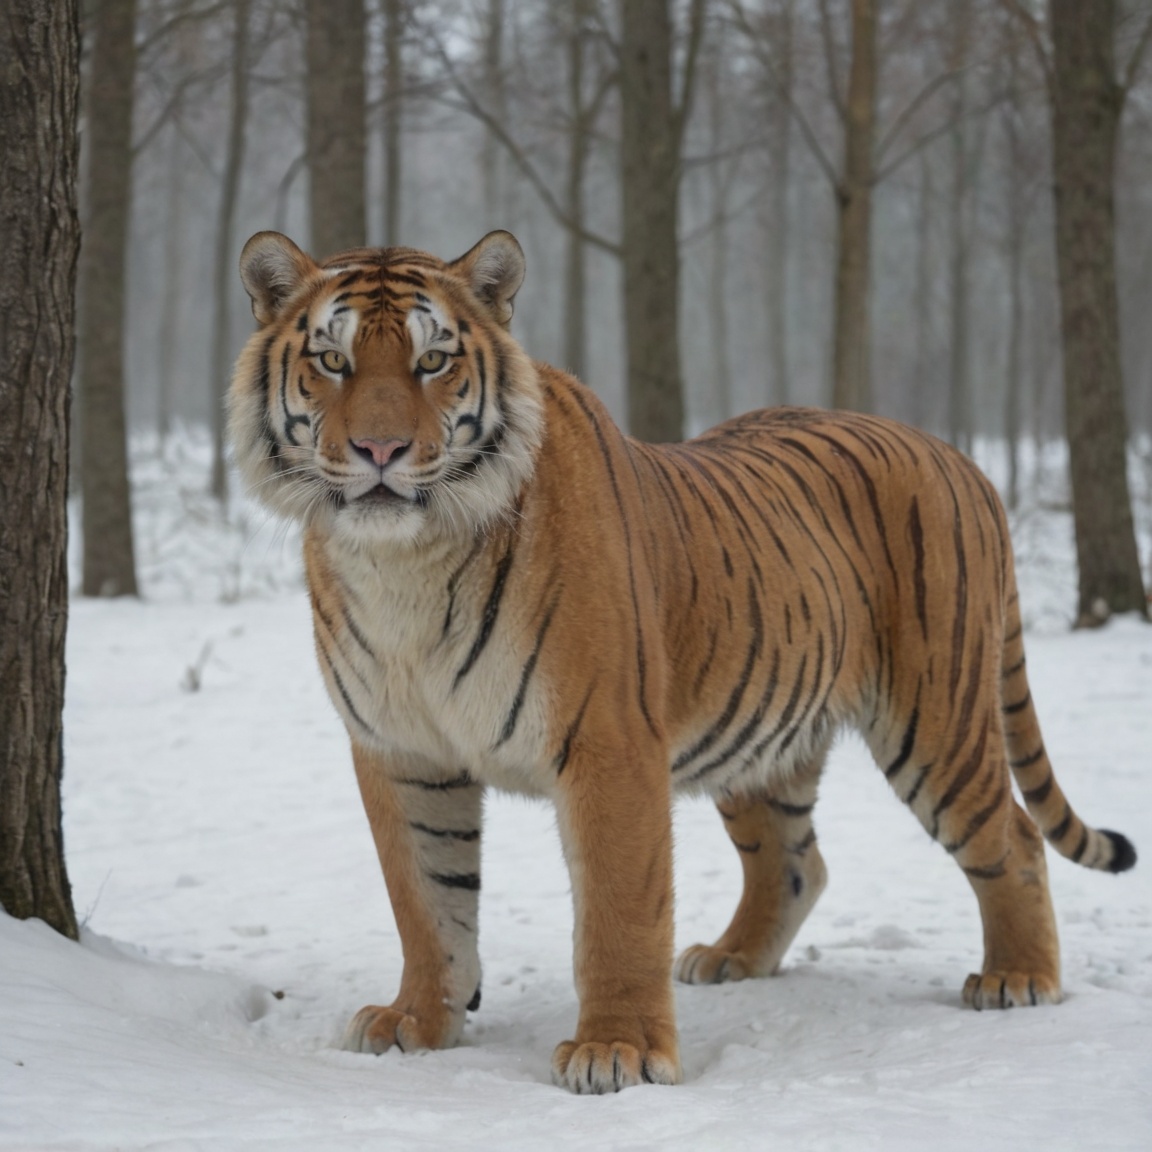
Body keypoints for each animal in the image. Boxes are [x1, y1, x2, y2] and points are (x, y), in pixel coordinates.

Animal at [228, 227, 1137, 1095]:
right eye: (333, 361)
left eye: (433, 361)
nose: (380, 450)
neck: (403, 564)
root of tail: (963, 458)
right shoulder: (401, 753)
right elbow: (426, 903)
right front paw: (417, 1022)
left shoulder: (608, 743)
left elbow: (617, 912)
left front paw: (617, 1052)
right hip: (763, 731)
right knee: (797, 862)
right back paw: (731, 959)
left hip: (935, 719)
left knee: (1014, 838)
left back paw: (1017, 979)